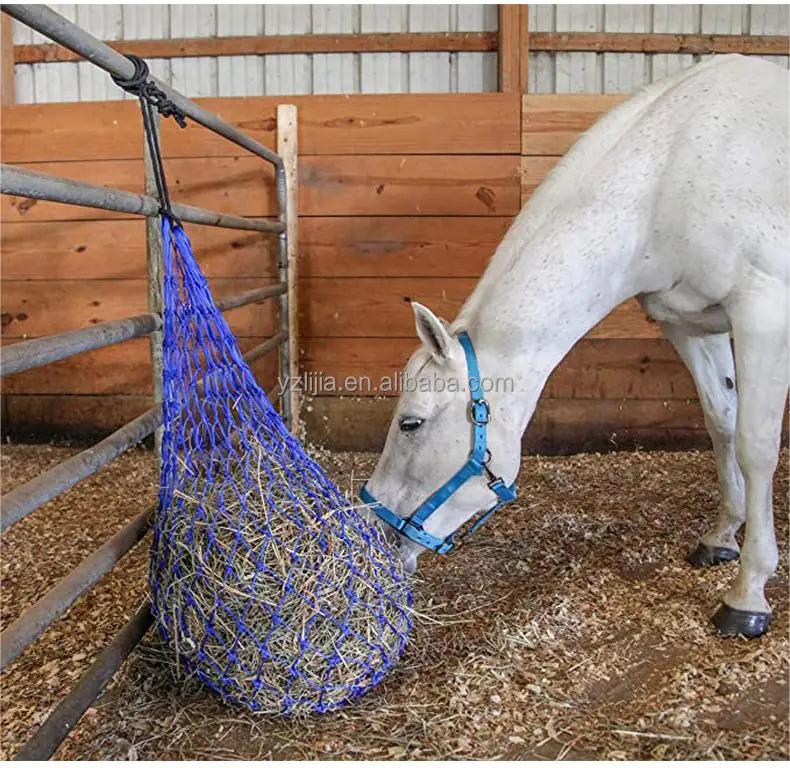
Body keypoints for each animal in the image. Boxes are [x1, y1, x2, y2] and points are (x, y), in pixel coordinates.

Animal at [360, 54, 789, 639]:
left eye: (410, 423)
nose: (374, 533)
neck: (673, 174)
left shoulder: (764, 313)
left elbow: (755, 444)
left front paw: (748, 592)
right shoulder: (691, 324)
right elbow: (721, 422)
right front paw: (722, 537)